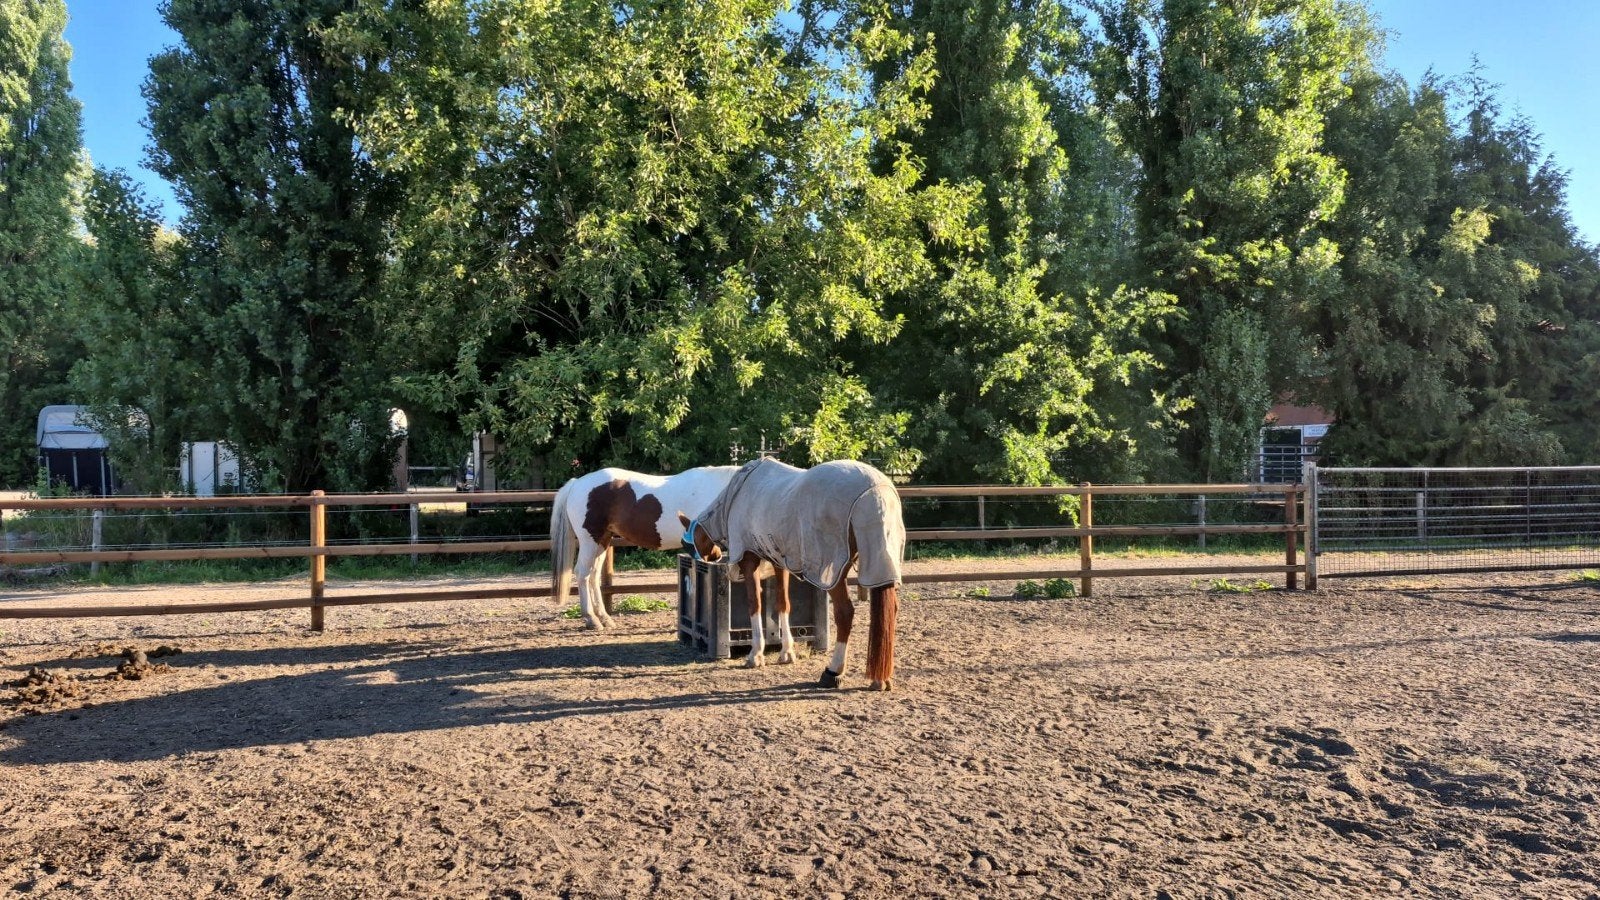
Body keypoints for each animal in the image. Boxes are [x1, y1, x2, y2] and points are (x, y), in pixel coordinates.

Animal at [551, 465, 739, 629]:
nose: (716, 557)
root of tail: (577, 483)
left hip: (602, 541)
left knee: (594, 576)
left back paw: (605, 618)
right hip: (590, 541)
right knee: (582, 574)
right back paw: (591, 620)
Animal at [680, 457, 906, 691]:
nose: (710, 558)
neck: (735, 495)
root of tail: (874, 492)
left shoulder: (749, 560)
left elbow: (755, 604)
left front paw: (755, 654)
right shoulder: (779, 562)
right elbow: (783, 604)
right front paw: (787, 652)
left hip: (833, 571)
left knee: (844, 612)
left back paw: (833, 671)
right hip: (880, 563)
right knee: (889, 611)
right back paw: (880, 678)